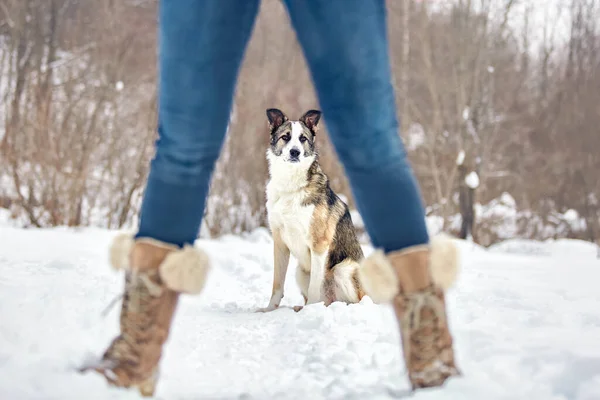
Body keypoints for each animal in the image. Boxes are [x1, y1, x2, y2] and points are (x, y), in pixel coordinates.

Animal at [260, 109, 368, 312]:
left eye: (303, 138)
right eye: (285, 137)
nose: (295, 152)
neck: (291, 185)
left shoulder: (319, 244)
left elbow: (314, 287)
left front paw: (310, 309)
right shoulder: (279, 242)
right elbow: (277, 283)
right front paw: (269, 309)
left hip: (343, 269)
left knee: (357, 301)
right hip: (300, 272)